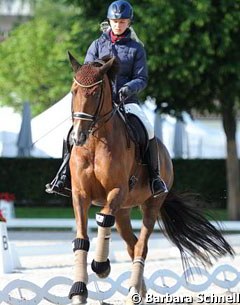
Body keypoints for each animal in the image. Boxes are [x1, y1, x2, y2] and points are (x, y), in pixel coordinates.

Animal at [66, 51, 233, 302]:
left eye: (95, 93)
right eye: (74, 91)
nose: (78, 136)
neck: (95, 142)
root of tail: (165, 154)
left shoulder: (117, 191)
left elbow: (103, 220)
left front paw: (101, 266)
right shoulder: (80, 195)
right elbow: (81, 239)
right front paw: (78, 290)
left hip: (151, 205)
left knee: (141, 246)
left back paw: (133, 290)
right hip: (123, 212)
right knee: (132, 244)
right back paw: (138, 290)